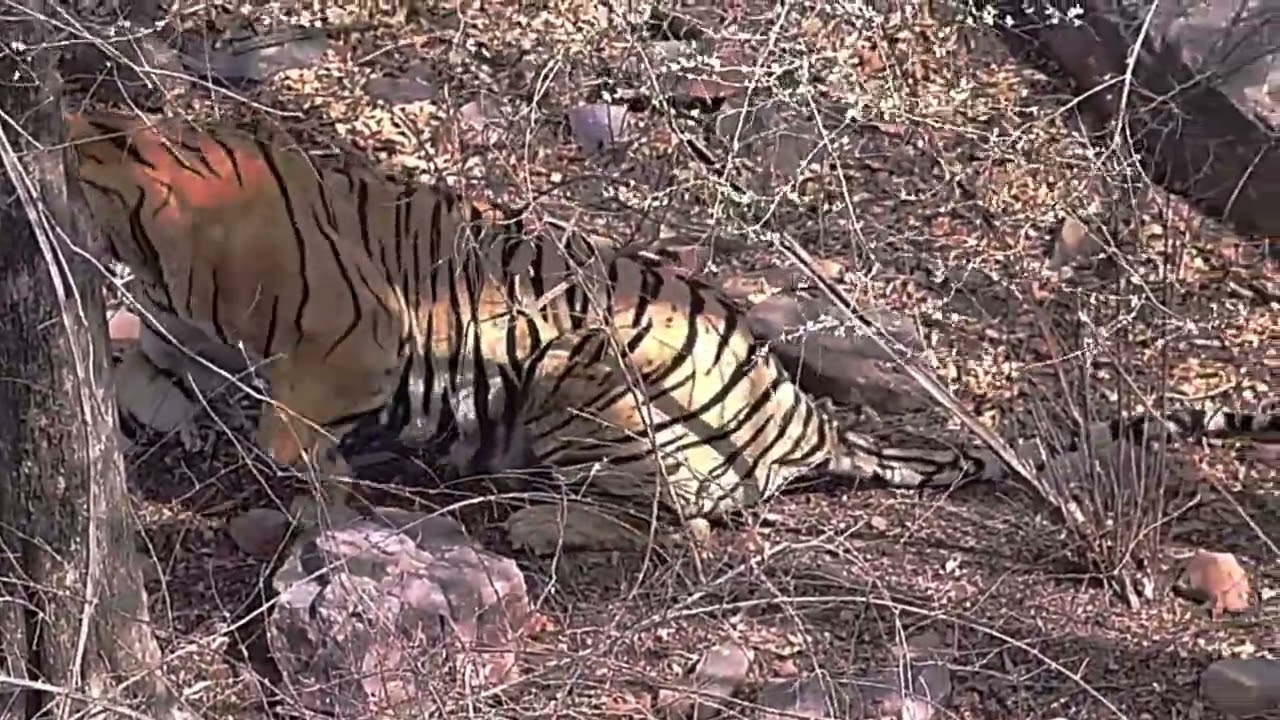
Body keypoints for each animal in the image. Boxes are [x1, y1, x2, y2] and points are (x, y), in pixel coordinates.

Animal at [66, 109, 1279, 554]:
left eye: (74, 163)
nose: (38, 175)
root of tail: (808, 418)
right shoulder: (178, 334)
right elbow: (147, 371)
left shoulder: (352, 335)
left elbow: (290, 419)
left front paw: (301, 476)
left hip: (587, 368)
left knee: (678, 523)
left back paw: (532, 521)